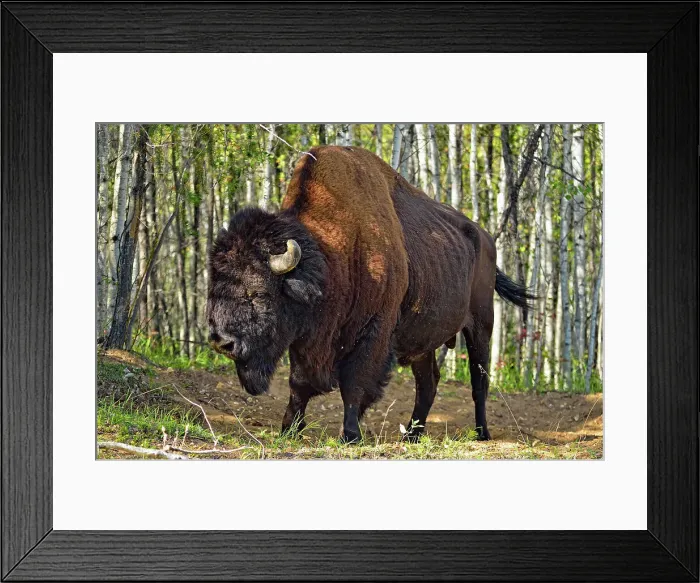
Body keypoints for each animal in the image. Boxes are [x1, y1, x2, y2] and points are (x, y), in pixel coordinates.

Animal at [207, 145, 532, 443]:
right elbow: (299, 383)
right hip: (423, 340)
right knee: (428, 383)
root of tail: (486, 238)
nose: (222, 341)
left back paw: (481, 433)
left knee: (479, 380)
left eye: (258, 292)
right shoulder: (306, 338)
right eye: (213, 286)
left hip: (481, 325)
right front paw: (289, 429)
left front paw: (350, 435)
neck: (331, 254)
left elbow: (355, 383)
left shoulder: (374, 330)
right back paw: (411, 435)